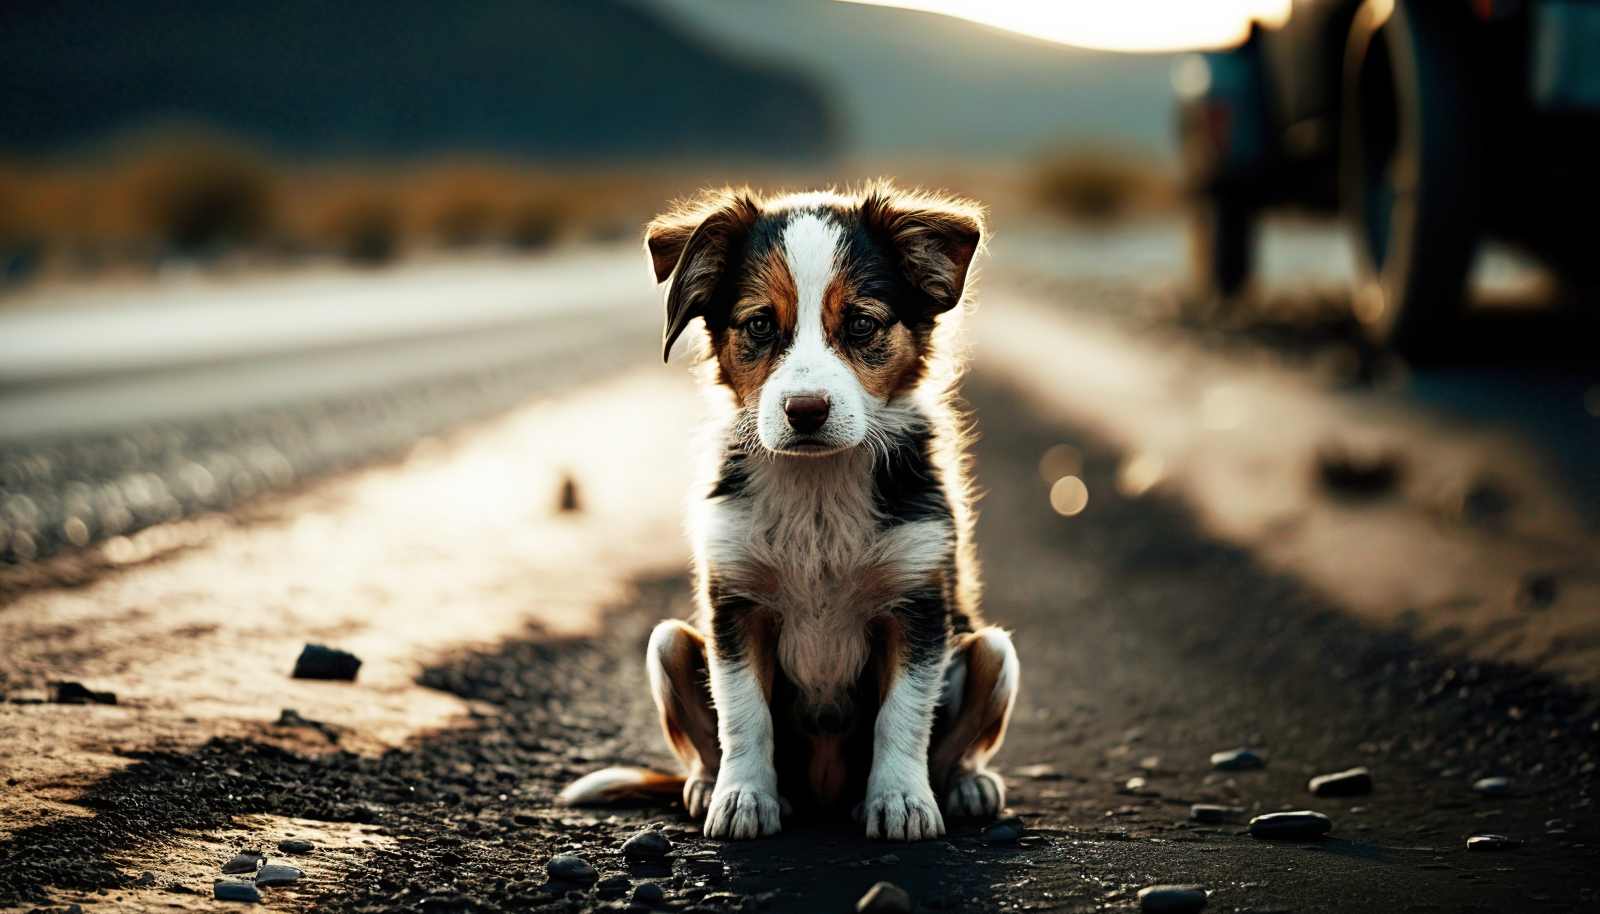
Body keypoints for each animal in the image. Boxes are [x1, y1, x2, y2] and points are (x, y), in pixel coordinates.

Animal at [563, 184, 1011, 845]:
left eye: (861, 324)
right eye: (758, 324)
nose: (805, 411)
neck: (817, 487)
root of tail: (825, 796)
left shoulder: (918, 604)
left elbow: (903, 715)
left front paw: (902, 801)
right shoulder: (736, 604)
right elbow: (743, 714)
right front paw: (744, 800)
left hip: (993, 652)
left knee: (960, 733)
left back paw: (964, 787)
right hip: (670, 643)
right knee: (701, 735)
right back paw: (707, 788)